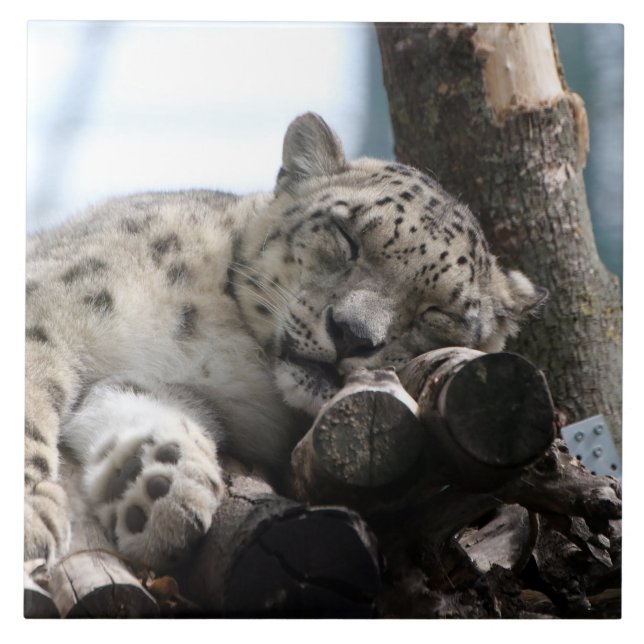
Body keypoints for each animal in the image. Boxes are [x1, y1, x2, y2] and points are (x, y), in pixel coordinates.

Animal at [25, 112, 547, 571]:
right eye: (345, 236)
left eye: (438, 312)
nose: (352, 334)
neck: (221, 344)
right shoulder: (52, 305)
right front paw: (32, 518)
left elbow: (141, 404)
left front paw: (158, 485)